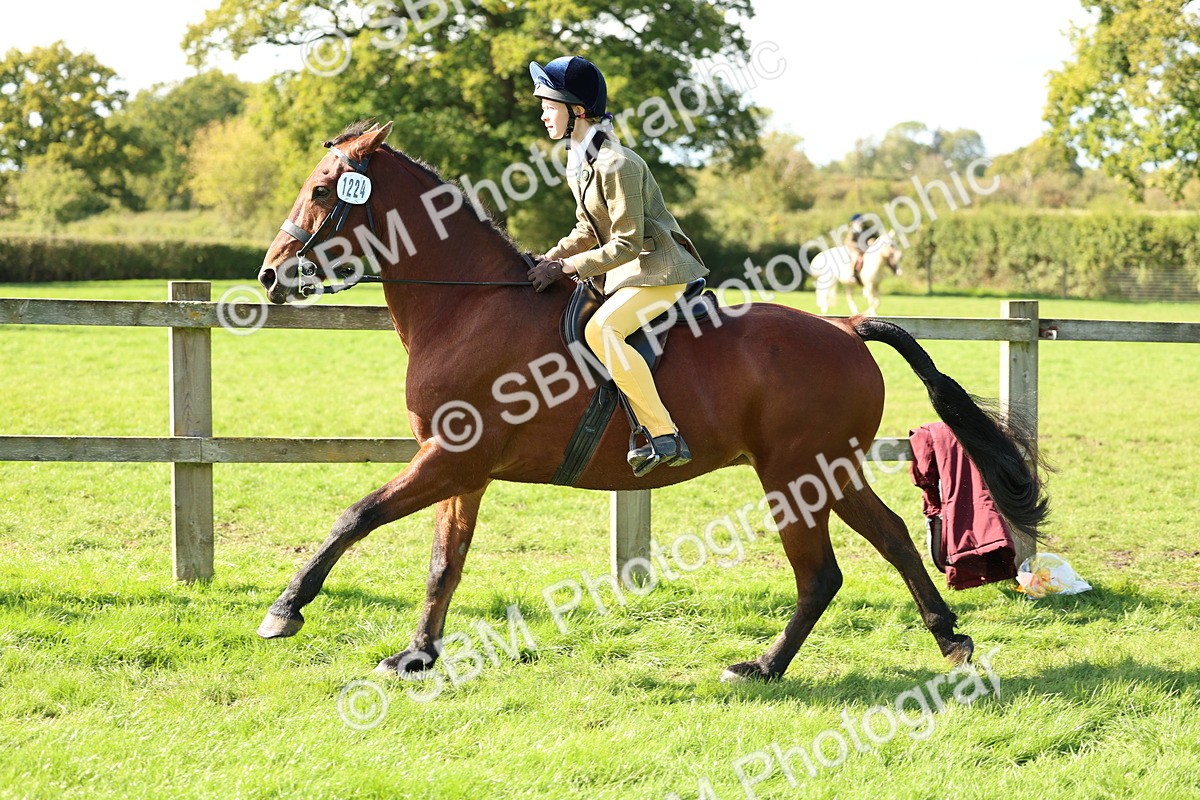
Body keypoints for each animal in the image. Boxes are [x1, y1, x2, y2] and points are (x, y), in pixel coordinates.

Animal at [254, 121, 1047, 683]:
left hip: (793, 476)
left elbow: (356, 515)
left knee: (821, 573)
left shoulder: (448, 459)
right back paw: (949, 638)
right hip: (830, 471)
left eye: (323, 191)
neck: (470, 307)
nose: (267, 276)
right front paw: (417, 655)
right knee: (893, 539)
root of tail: (846, 329)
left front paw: (285, 610)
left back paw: (763, 668)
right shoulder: (461, 471)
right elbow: (443, 562)